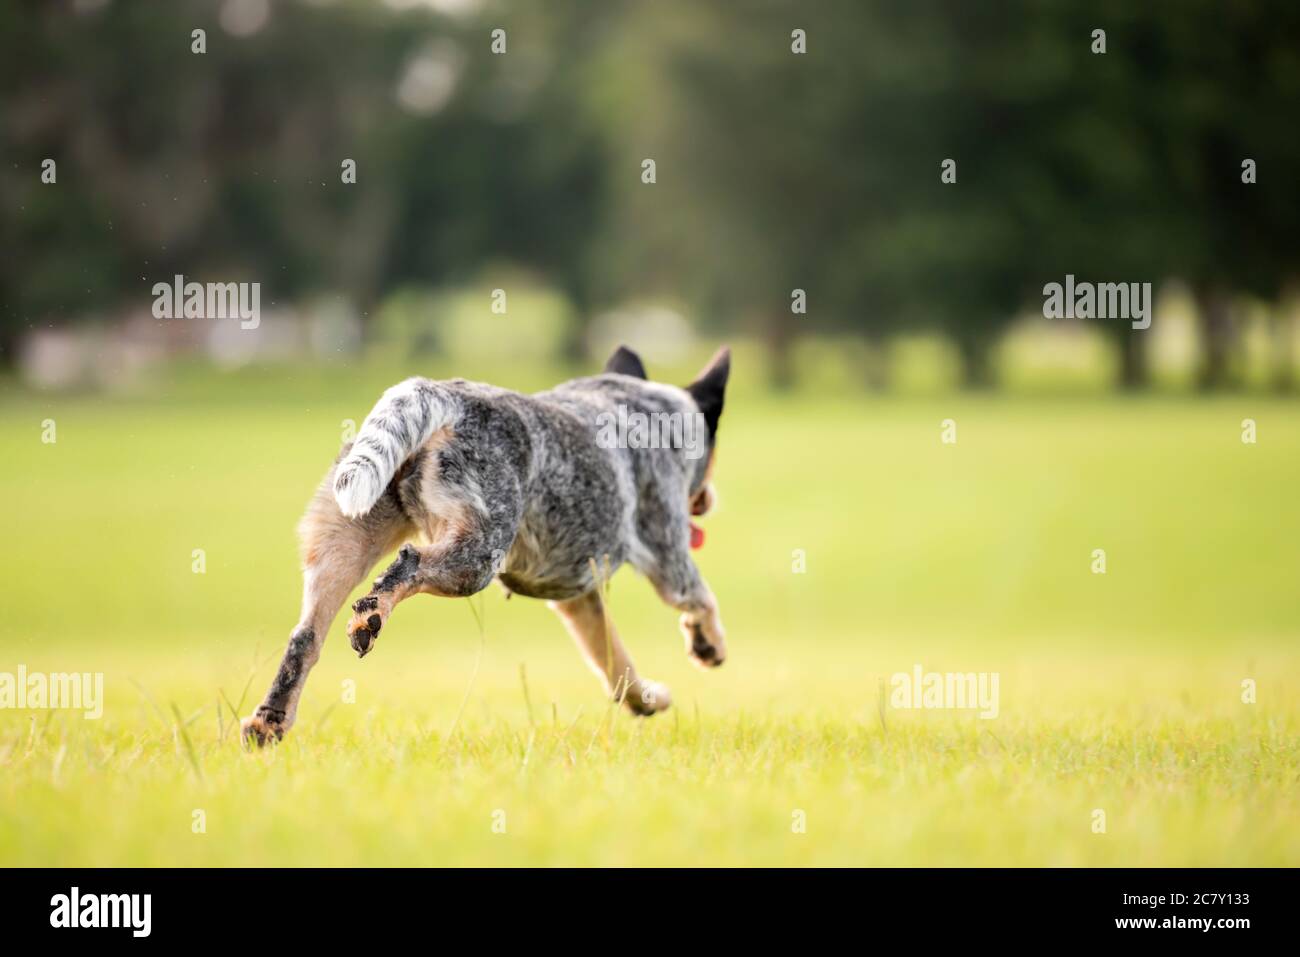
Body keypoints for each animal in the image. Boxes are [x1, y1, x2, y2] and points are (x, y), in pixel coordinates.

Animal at [241, 345, 733, 748]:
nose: (710, 499)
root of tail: (442, 395)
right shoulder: (668, 557)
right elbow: (703, 600)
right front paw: (708, 646)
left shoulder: (578, 599)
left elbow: (615, 662)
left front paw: (647, 699)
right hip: (477, 559)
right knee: (408, 565)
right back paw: (370, 615)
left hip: (345, 538)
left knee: (305, 637)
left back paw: (269, 722)